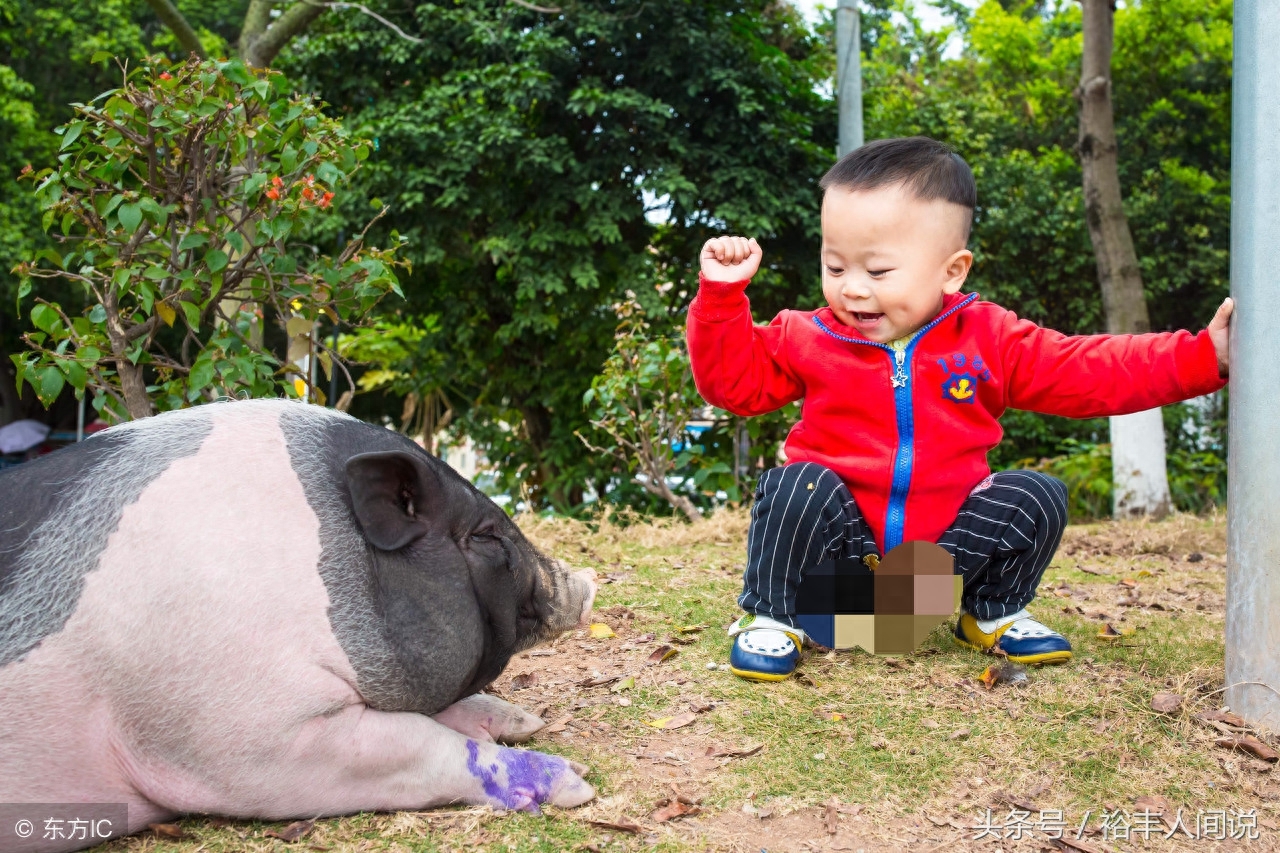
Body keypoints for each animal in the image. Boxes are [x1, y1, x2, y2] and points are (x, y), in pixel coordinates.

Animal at [0, 399, 599, 850]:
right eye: (486, 535)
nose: (588, 582)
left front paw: (527, 720)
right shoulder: (244, 739)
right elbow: (425, 745)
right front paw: (578, 786)